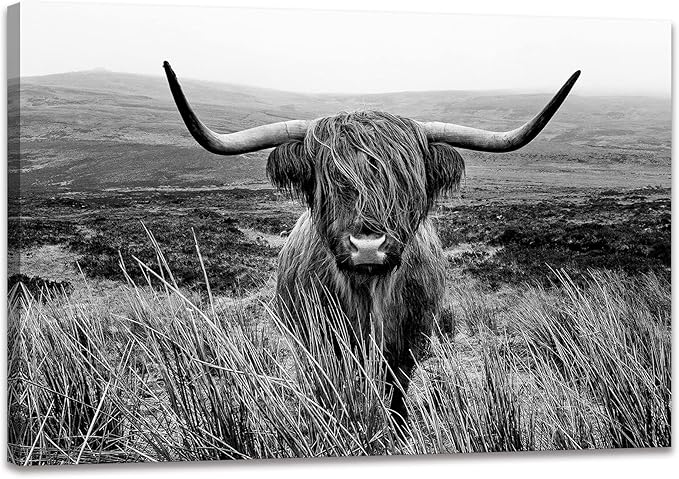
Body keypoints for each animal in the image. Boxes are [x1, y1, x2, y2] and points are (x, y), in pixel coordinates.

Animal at [163, 61, 580, 427]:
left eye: (405, 180)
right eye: (328, 179)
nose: (367, 246)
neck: (367, 293)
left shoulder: (407, 344)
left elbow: (396, 393)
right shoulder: (320, 344)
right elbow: (332, 391)